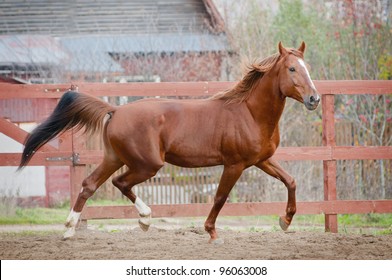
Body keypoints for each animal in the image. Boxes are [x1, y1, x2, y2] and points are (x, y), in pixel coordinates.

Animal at [18, 41, 318, 243]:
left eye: (308, 69)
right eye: (292, 68)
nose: (314, 99)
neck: (250, 113)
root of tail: (115, 110)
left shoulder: (260, 160)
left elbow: (290, 181)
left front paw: (285, 221)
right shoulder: (235, 164)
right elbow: (220, 197)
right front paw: (211, 232)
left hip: (114, 158)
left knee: (90, 184)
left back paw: (70, 230)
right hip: (146, 164)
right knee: (120, 183)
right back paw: (144, 219)